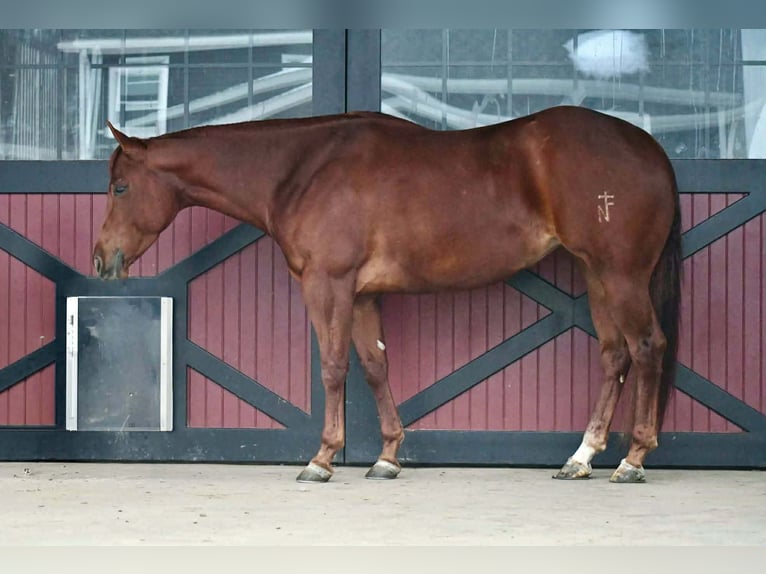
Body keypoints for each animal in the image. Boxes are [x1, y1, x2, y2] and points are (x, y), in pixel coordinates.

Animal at [94, 105, 681, 484]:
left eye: (121, 187)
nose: (102, 260)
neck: (302, 170)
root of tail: (650, 148)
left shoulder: (328, 284)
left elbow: (333, 367)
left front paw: (322, 459)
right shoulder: (361, 296)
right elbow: (375, 367)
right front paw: (388, 457)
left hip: (621, 274)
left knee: (647, 348)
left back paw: (632, 460)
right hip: (598, 275)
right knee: (615, 356)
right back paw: (581, 457)